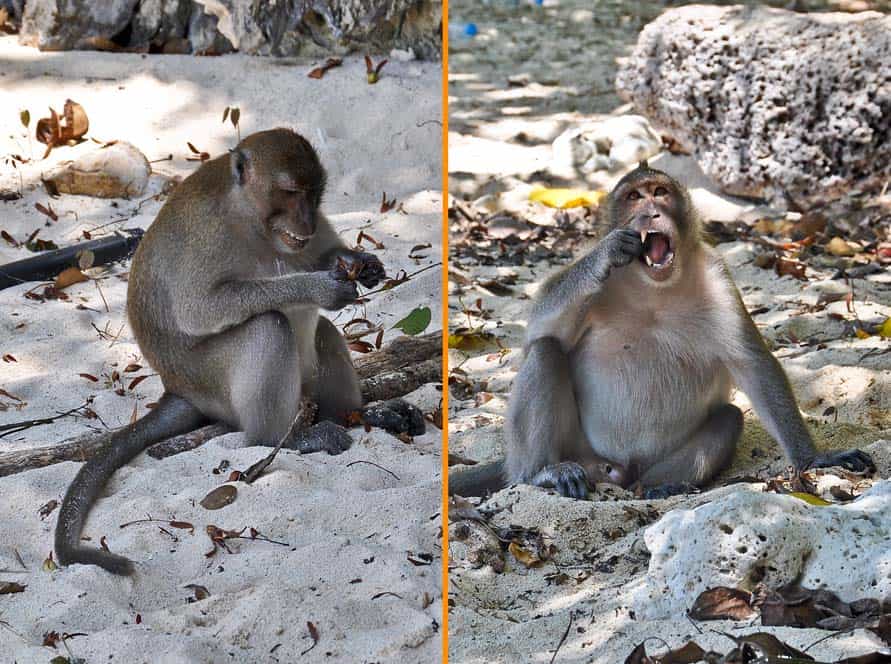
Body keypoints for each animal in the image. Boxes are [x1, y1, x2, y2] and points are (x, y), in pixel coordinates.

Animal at [56, 128, 424, 574]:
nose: (307, 221)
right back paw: (285, 438)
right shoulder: (208, 235)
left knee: (321, 333)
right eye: (290, 192)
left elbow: (322, 254)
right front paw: (318, 287)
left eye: (315, 193)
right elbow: (200, 309)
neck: (248, 216)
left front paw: (361, 262)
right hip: (210, 381)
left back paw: (358, 415)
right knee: (269, 327)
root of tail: (177, 389)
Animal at [449, 163, 874, 500]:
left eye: (660, 193)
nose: (651, 213)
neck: (653, 288)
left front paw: (815, 458)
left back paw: (659, 487)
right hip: (578, 447)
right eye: (634, 197)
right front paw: (606, 253)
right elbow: (538, 328)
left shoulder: (719, 278)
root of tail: (618, 468)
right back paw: (541, 474)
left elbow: (754, 365)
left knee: (728, 418)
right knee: (545, 352)